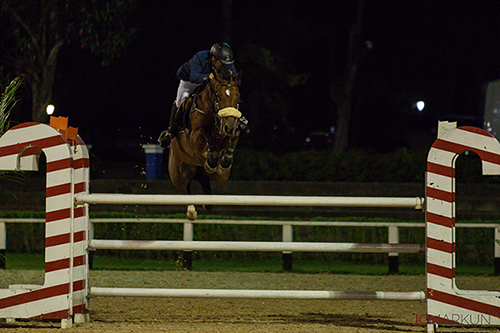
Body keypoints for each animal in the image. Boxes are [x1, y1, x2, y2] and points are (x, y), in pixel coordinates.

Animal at [169, 70, 243, 211]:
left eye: (237, 97)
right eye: (219, 96)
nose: (229, 127)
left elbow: (232, 139)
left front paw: (225, 158)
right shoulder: (195, 138)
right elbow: (204, 132)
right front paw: (211, 157)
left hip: (220, 175)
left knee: (204, 181)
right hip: (178, 175)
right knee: (185, 184)